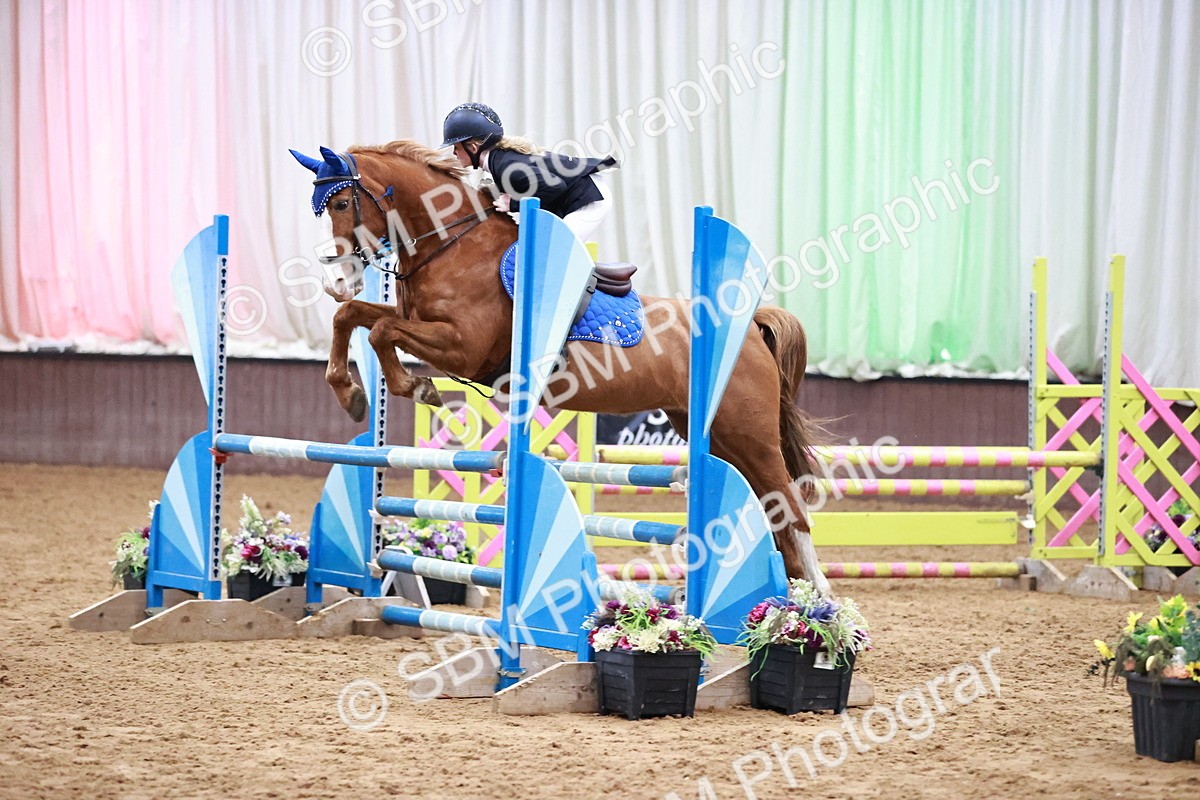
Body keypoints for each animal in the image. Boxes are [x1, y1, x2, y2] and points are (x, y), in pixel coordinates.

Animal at [291, 140, 831, 596]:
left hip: (747, 430)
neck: (452, 246)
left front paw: (416, 387)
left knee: (790, 506)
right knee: (770, 509)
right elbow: (353, 318)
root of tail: (750, 326)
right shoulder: (416, 324)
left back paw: (816, 604)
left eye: (340, 205)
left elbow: (382, 333)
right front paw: (352, 394)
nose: (335, 280)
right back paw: (794, 598)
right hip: (711, 431)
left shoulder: (463, 348)